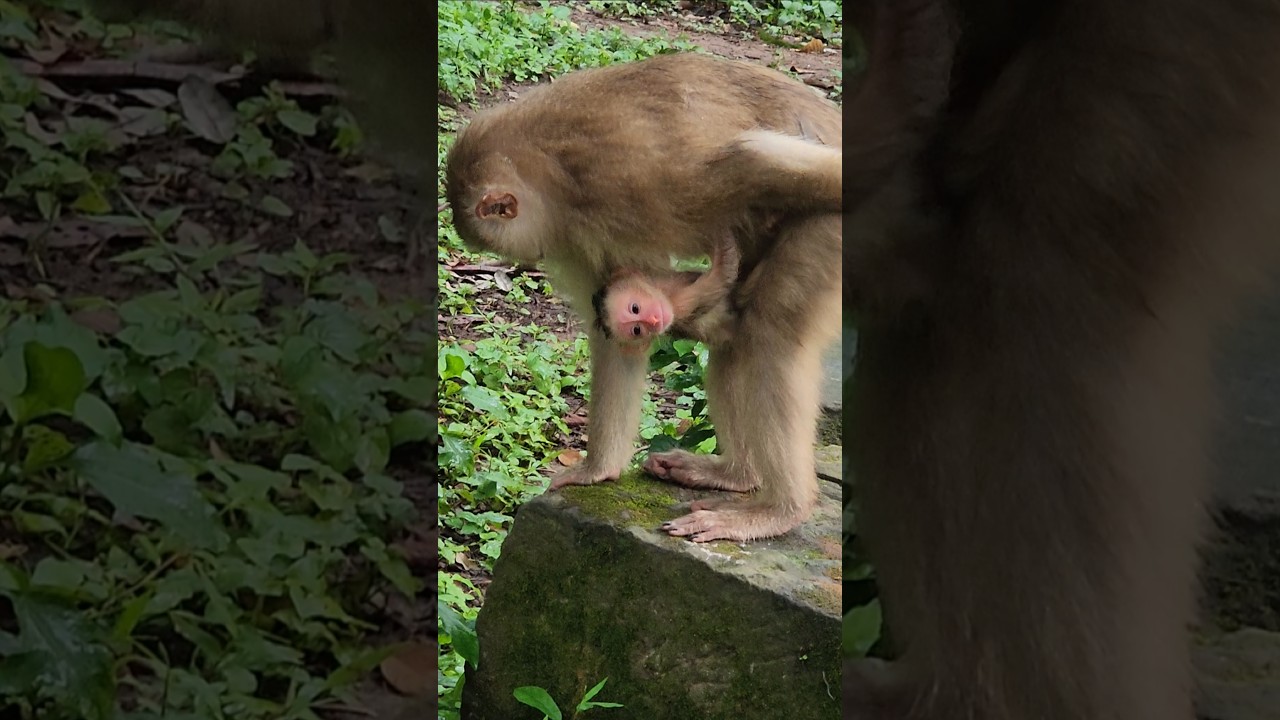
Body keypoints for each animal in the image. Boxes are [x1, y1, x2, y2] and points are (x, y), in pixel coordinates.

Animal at [594, 228, 742, 354]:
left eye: (635, 308)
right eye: (637, 330)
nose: (653, 320)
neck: (666, 292)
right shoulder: (679, 306)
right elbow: (718, 280)